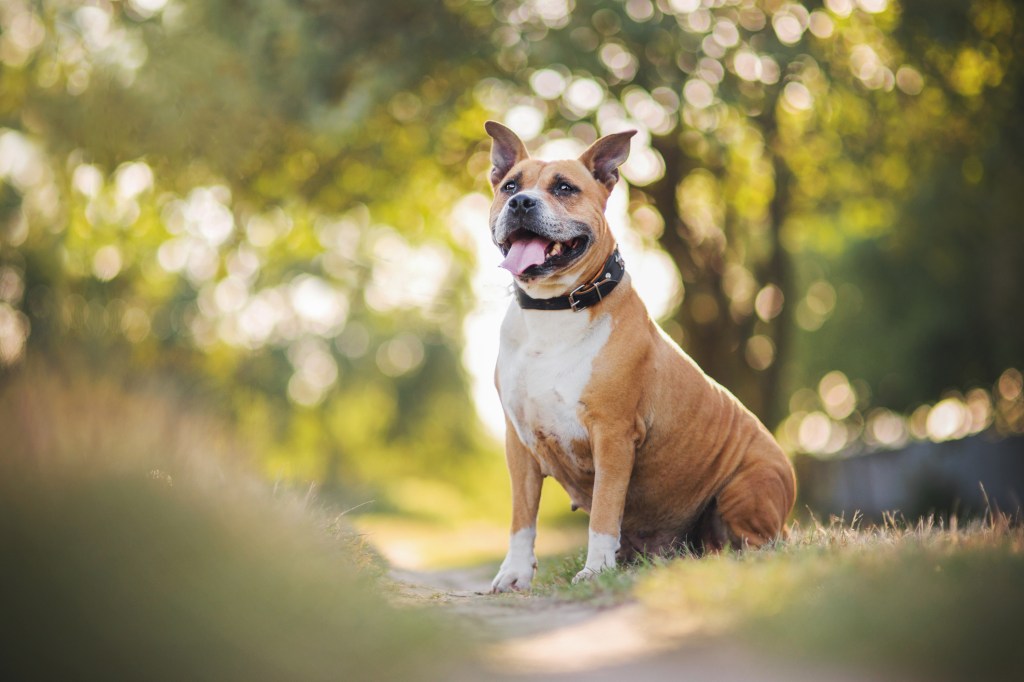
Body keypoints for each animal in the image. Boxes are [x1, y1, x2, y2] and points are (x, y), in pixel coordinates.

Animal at [487, 118, 798, 589]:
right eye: (509, 186)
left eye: (564, 188)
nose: (522, 202)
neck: (554, 309)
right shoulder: (518, 441)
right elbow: (522, 517)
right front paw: (514, 574)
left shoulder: (613, 435)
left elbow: (603, 512)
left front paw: (595, 570)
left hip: (744, 488)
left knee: (759, 544)